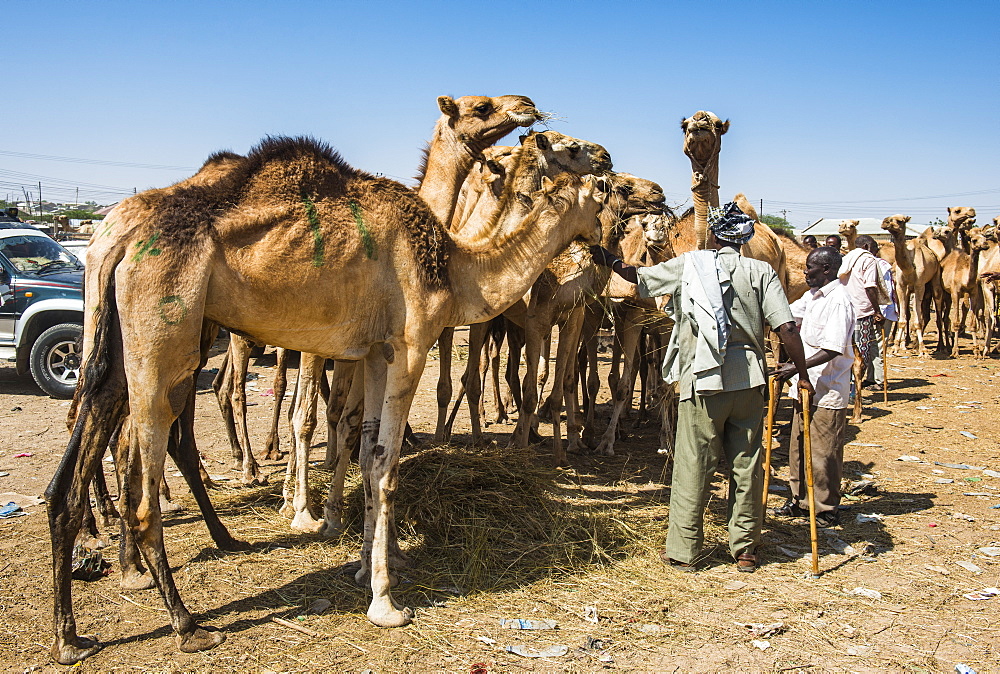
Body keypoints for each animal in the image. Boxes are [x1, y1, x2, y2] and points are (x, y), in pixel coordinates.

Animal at [48, 134, 608, 664]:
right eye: (597, 186)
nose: (603, 246)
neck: (453, 268)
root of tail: (115, 238)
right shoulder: (410, 347)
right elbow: (385, 466)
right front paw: (385, 603)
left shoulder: (378, 353)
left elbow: (367, 451)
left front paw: (364, 570)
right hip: (163, 336)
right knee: (143, 485)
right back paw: (187, 624)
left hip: (116, 341)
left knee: (75, 460)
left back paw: (71, 637)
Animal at [884, 214, 944, 356]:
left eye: (900, 221)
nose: (884, 222)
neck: (909, 267)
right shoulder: (900, 286)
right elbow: (902, 318)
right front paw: (896, 347)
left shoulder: (919, 286)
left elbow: (918, 319)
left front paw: (923, 349)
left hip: (935, 280)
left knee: (937, 312)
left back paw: (941, 346)